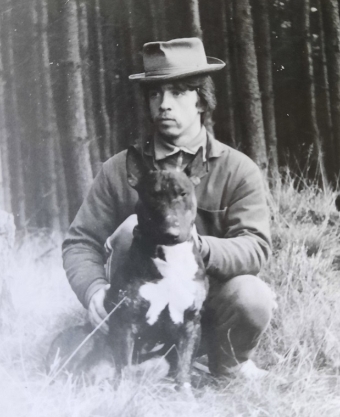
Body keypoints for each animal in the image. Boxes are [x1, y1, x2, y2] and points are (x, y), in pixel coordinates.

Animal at [104, 145, 207, 390]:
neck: (171, 256)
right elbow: (124, 368)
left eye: (183, 194)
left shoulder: (191, 322)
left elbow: (184, 370)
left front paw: (186, 395)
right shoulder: (126, 320)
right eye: (153, 195)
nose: (171, 233)